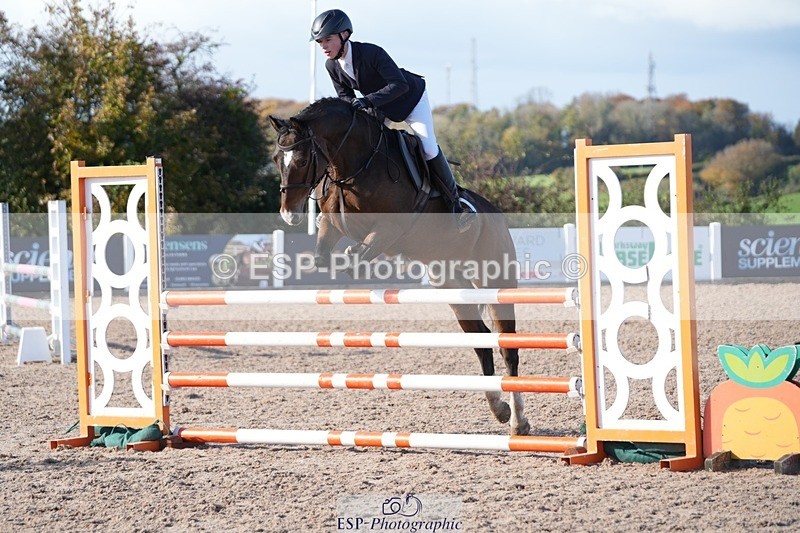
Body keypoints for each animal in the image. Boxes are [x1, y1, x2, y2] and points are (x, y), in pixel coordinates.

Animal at [268, 97, 530, 435]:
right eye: (277, 159)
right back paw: (499, 408)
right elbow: (325, 256)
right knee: (482, 341)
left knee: (508, 347)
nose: (289, 215)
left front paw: (359, 261)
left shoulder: (390, 228)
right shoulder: (331, 224)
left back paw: (518, 421)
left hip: (496, 284)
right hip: (454, 289)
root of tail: (495, 214)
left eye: (301, 160)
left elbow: (360, 251)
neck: (353, 166)